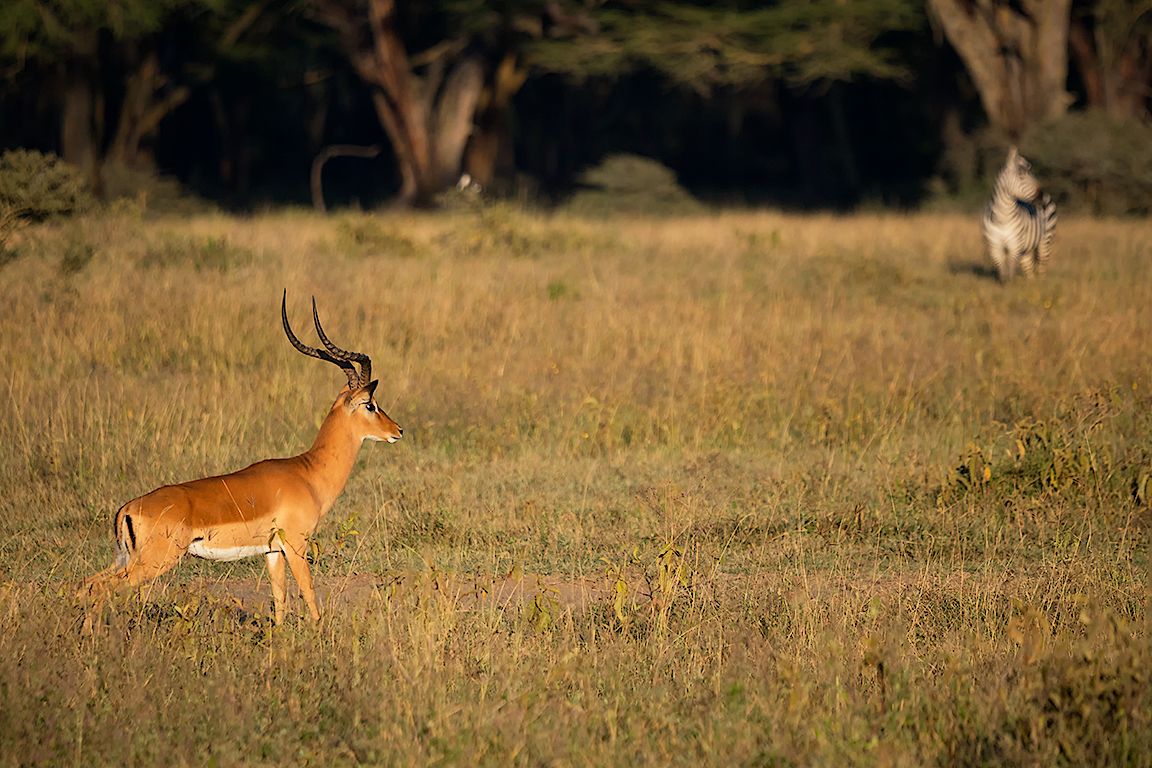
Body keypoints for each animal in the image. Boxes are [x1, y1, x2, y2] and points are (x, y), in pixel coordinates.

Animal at [79, 292, 403, 625]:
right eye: (370, 404)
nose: (398, 430)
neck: (308, 473)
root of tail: (127, 509)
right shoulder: (296, 545)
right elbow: (310, 595)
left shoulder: (272, 552)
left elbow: (279, 601)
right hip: (153, 562)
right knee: (99, 588)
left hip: (126, 559)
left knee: (86, 584)